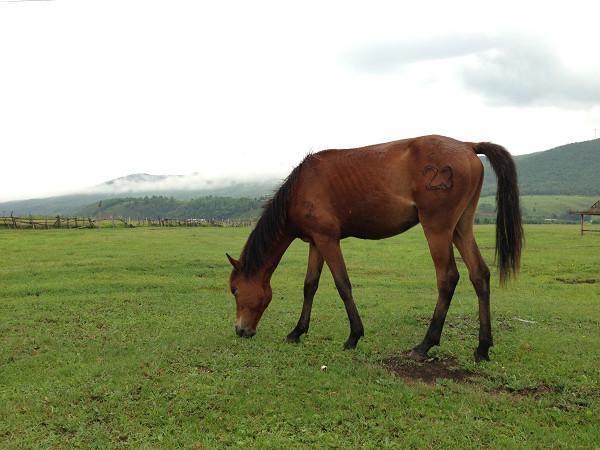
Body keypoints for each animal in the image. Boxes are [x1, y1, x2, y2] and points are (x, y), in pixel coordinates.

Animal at [225, 134, 520, 362]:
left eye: (235, 290)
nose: (240, 330)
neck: (300, 188)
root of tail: (467, 145)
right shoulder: (317, 242)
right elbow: (310, 285)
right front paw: (297, 332)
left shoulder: (328, 240)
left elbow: (343, 285)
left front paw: (354, 336)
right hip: (461, 228)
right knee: (479, 275)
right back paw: (482, 348)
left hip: (437, 229)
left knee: (448, 278)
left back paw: (425, 345)